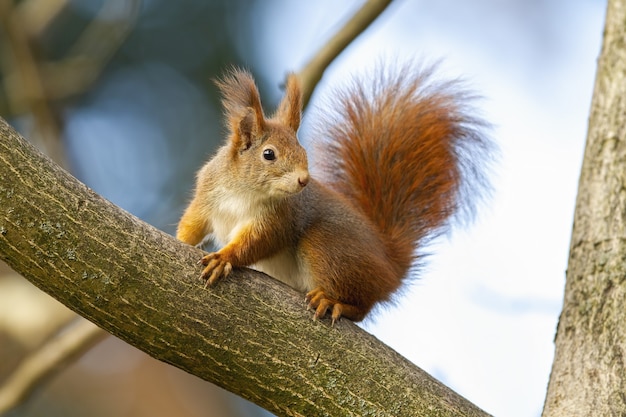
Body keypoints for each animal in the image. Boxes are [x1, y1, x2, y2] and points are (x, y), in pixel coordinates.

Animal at [174, 64, 488, 322]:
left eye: (303, 152)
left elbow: (256, 242)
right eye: (268, 154)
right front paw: (182, 241)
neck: (244, 191)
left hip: (325, 245)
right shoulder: (207, 196)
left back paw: (334, 302)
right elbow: (193, 223)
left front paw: (224, 257)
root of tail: (390, 267)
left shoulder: (280, 219)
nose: (304, 180)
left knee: (361, 309)